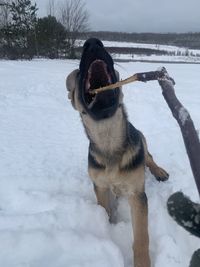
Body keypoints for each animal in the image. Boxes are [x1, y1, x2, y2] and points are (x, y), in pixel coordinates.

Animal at [67, 38, 169, 267]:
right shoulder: (101, 187)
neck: (109, 141)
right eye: (78, 74)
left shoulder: (137, 194)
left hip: (142, 138)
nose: (92, 42)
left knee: (149, 158)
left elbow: (141, 237)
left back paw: (159, 171)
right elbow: (105, 211)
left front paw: (142, 263)